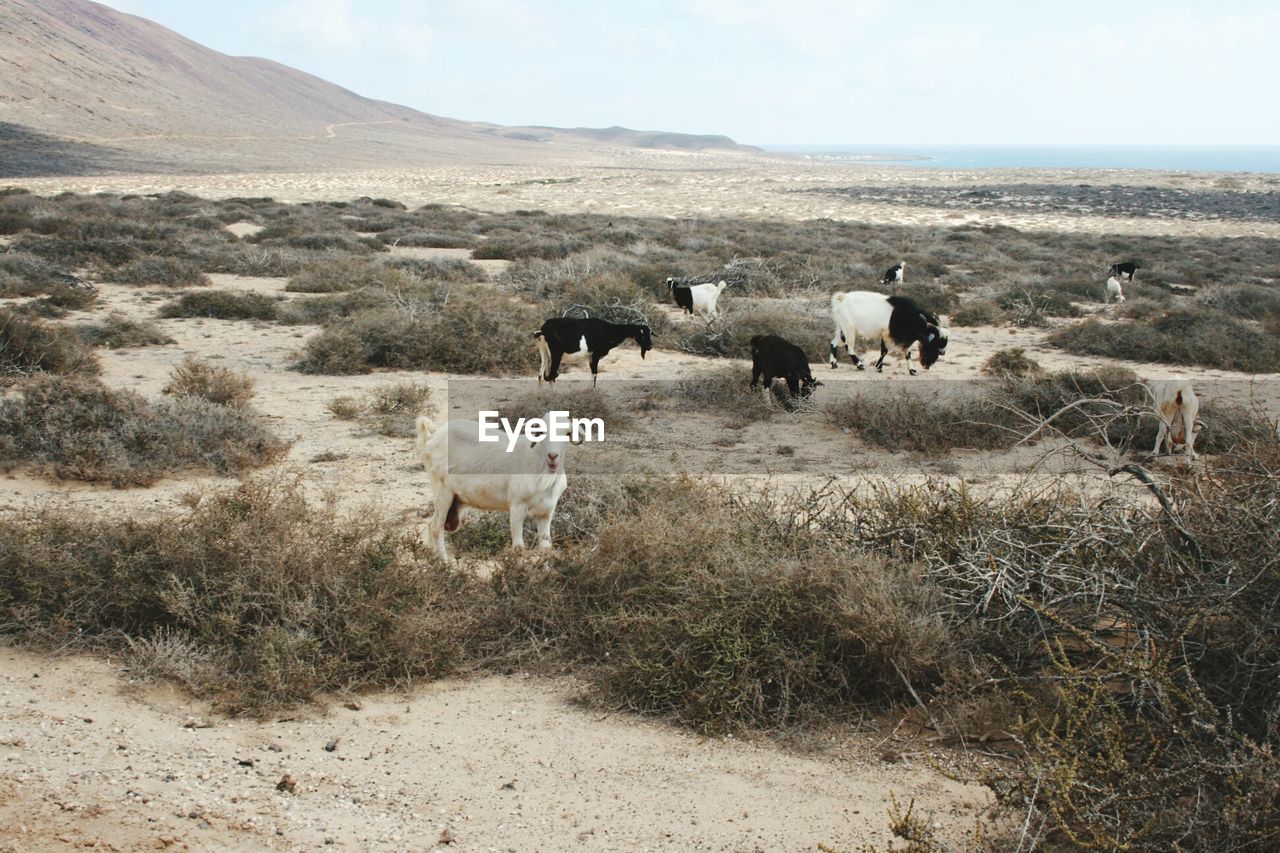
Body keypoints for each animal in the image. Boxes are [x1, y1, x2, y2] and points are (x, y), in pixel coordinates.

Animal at [414, 407, 586, 558]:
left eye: (567, 433)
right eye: (541, 433)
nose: (553, 456)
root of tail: (430, 439)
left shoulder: (546, 512)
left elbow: (545, 548)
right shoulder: (517, 506)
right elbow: (518, 548)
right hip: (442, 492)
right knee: (435, 527)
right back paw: (444, 563)